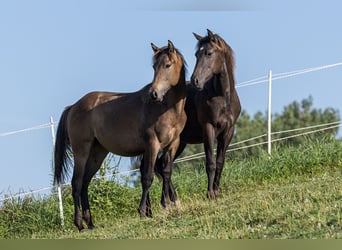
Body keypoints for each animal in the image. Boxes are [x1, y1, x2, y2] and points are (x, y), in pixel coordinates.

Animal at [53, 40, 187, 230]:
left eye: (167, 65)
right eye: (154, 66)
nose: (154, 94)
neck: (167, 108)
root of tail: (73, 107)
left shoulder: (172, 145)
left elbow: (166, 173)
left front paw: (166, 205)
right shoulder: (152, 145)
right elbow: (147, 177)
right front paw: (143, 212)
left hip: (97, 153)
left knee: (85, 182)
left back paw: (90, 223)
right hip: (81, 152)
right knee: (77, 183)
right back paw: (79, 224)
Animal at [152, 28, 240, 205]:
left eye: (209, 53)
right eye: (196, 55)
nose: (195, 80)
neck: (223, 98)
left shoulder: (228, 132)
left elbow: (220, 162)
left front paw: (217, 192)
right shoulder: (208, 129)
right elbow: (210, 162)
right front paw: (210, 194)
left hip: (180, 143)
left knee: (161, 165)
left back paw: (174, 199)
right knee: (163, 165)